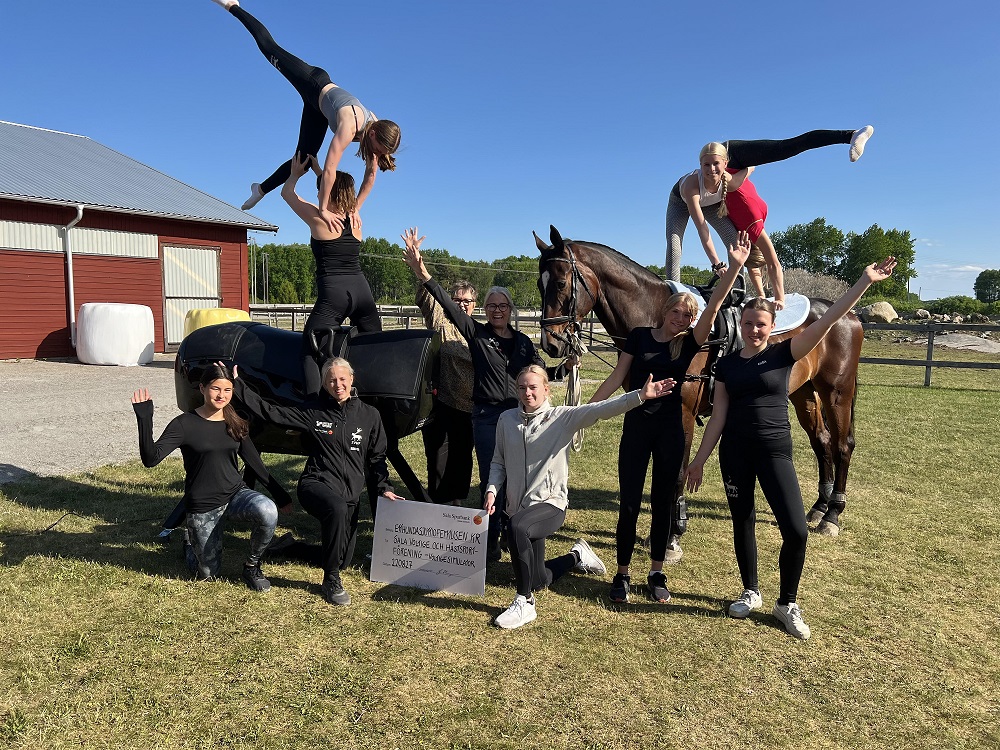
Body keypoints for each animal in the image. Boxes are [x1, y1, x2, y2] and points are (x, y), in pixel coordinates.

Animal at [536, 223, 864, 552]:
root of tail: (846, 314)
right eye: (540, 285)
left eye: (562, 282)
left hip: (836, 392)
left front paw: (672, 534)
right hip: (803, 392)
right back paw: (819, 507)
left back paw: (832, 514)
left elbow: (678, 470)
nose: (551, 344)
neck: (660, 320)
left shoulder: (683, 412)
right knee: (821, 440)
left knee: (842, 444)